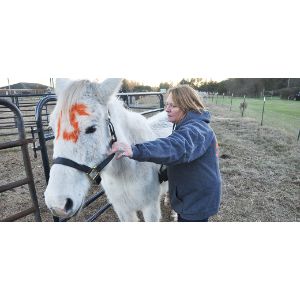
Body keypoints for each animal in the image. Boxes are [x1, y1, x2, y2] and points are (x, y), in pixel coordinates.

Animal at [43, 78, 172, 221]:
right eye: (52, 128)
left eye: (91, 128)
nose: (58, 204)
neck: (126, 172)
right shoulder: (123, 210)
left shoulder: (151, 208)